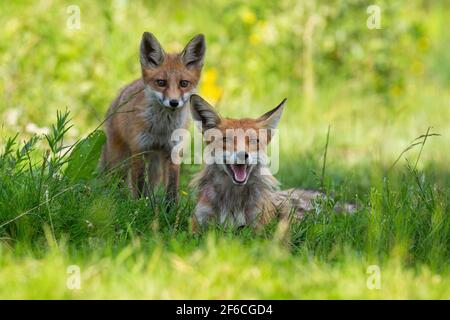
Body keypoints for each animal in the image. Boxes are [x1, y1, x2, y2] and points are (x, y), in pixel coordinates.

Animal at [100, 33, 206, 202]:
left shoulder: (173, 152)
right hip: (119, 160)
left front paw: (170, 208)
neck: (161, 129)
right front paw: (137, 206)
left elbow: (171, 188)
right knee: (115, 181)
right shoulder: (139, 150)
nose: (174, 102)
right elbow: (138, 186)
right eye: (161, 82)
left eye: (184, 83)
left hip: (155, 165)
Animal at [187, 94, 356, 229]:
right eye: (226, 140)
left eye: (254, 141)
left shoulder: (258, 226)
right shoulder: (197, 223)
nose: (242, 155)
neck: (231, 202)